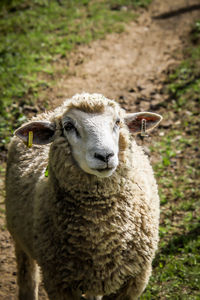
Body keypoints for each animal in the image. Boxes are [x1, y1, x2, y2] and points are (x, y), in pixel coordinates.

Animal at [5, 92, 162, 298]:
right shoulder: (58, 282)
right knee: (27, 277)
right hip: (18, 237)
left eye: (118, 121)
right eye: (68, 126)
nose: (105, 156)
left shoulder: (135, 279)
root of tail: (45, 113)